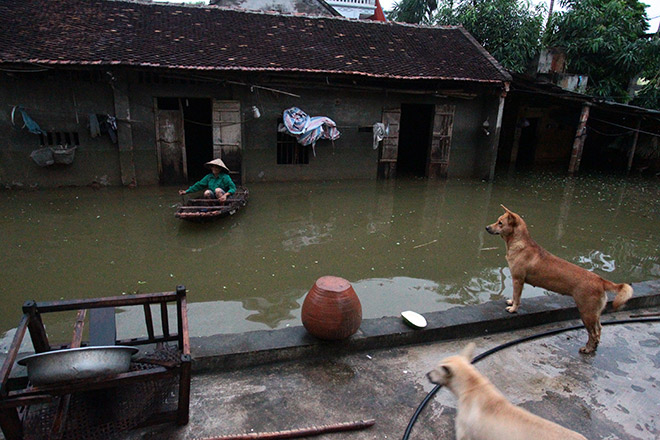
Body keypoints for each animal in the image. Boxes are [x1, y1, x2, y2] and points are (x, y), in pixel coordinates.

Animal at [488, 206, 632, 354]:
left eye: (500, 223)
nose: (487, 227)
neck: (519, 242)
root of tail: (601, 280)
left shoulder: (518, 279)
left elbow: (517, 296)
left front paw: (513, 308)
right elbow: (514, 296)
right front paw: (511, 302)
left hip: (586, 312)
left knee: (593, 333)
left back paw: (587, 349)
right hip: (594, 313)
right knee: (599, 330)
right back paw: (593, 347)